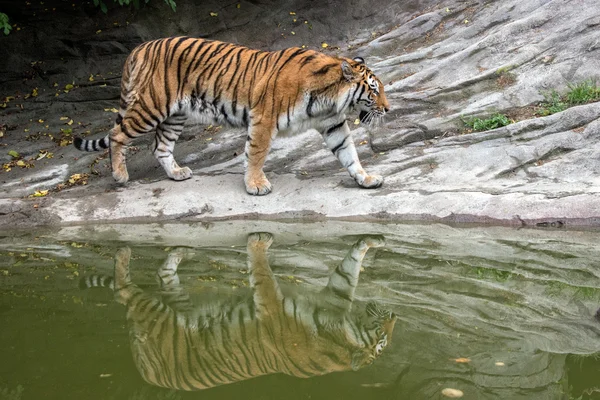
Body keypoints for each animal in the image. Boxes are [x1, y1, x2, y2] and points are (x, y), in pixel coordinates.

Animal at [72, 36, 392, 196]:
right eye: (374, 90)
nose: (388, 108)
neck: (328, 99)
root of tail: (138, 48)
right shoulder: (263, 119)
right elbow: (256, 154)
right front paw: (256, 185)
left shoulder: (333, 125)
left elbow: (349, 154)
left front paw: (365, 178)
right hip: (152, 106)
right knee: (117, 134)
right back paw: (120, 175)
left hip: (176, 114)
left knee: (159, 146)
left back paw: (177, 174)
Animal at [81, 233, 398, 390]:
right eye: (382, 340)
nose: (395, 317)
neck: (341, 332)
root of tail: (144, 372)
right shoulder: (306, 302)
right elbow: (264, 271)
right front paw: (373, 240)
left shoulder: (327, 297)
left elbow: (348, 267)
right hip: (160, 313)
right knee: (127, 288)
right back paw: (132, 252)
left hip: (168, 308)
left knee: (146, 281)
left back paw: (171, 252)